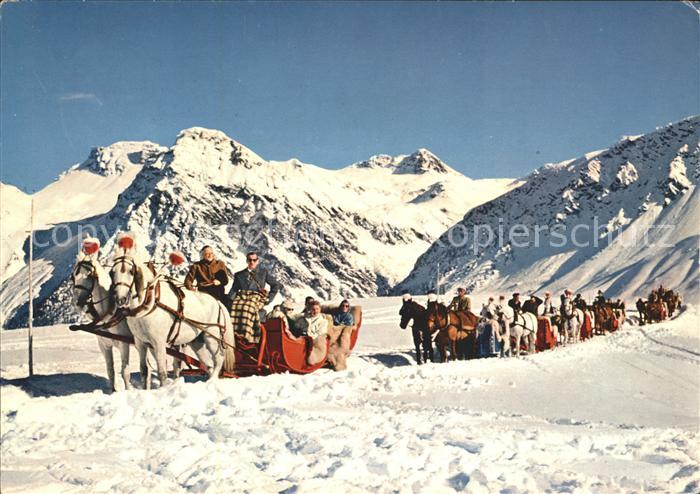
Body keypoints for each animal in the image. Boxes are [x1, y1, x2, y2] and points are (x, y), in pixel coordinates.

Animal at [71, 253, 135, 392]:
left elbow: (125, 372)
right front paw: (113, 391)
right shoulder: (104, 345)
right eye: (73, 276)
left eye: (90, 275)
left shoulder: (124, 344)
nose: (79, 302)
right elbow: (110, 370)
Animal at [110, 251, 235, 386]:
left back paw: (212, 381)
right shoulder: (140, 342)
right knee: (208, 364)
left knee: (219, 359)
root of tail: (218, 303)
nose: (120, 299)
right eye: (112, 272)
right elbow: (144, 370)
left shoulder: (158, 343)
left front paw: (163, 388)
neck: (150, 304)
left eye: (131, 271)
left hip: (212, 337)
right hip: (197, 342)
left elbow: (162, 372)